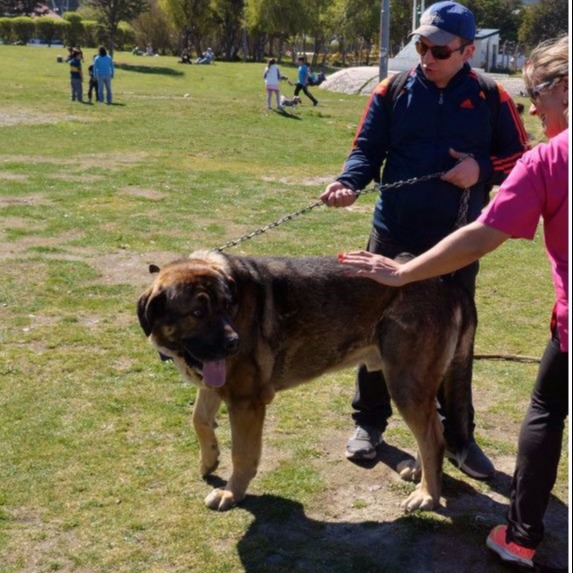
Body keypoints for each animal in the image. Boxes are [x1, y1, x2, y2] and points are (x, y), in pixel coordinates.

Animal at [136, 249, 472, 510]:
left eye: (228, 306)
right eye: (197, 312)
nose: (234, 344)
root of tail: (444, 281)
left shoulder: (246, 403)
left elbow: (242, 454)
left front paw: (232, 493)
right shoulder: (215, 385)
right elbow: (199, 420)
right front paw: (209, 459)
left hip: (405, 383)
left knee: (433, 437)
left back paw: (427, 495)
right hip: (415, 386)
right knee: (434, 429)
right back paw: (420, 471)